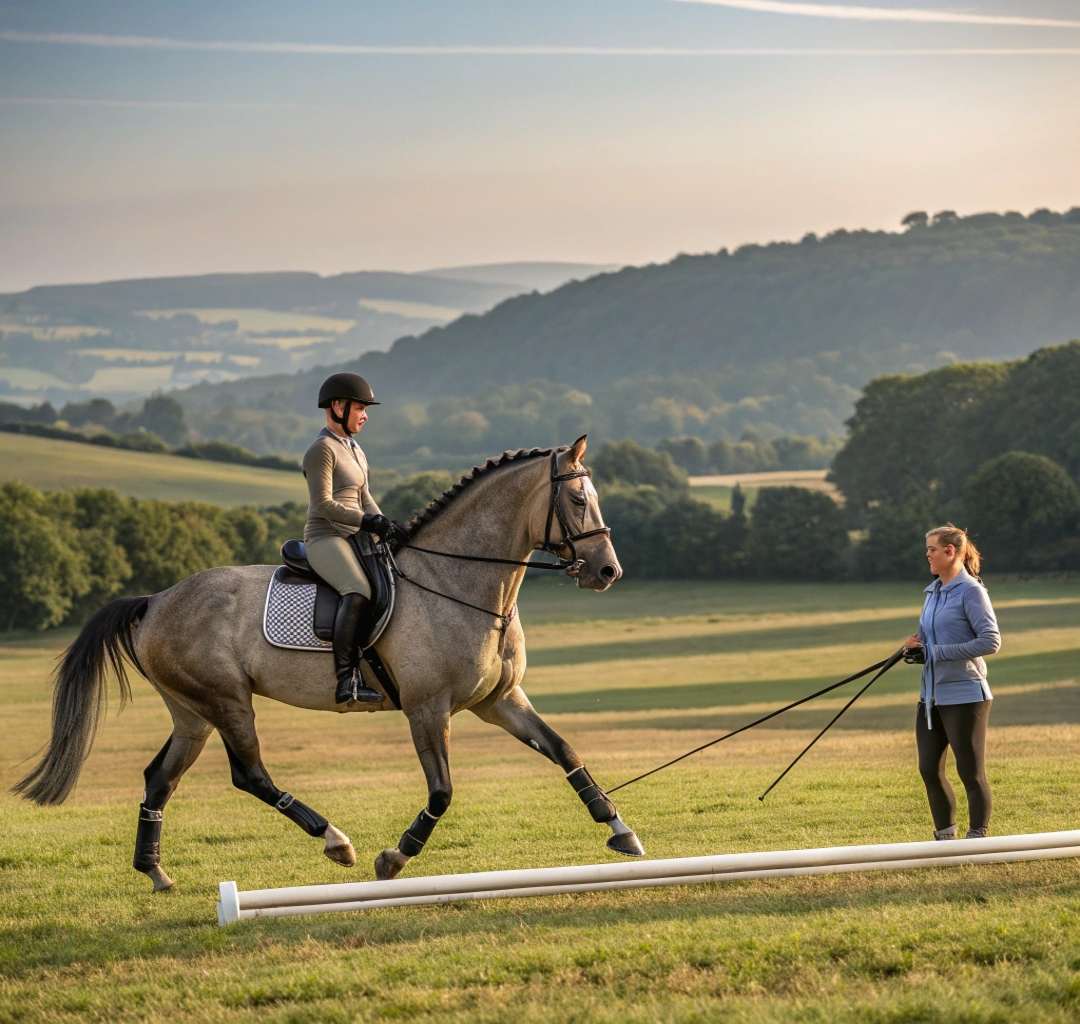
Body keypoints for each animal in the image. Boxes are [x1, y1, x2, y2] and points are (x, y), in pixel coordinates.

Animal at [14, 435, 645, 891]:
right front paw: (393, 857)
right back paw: (335, 841)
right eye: (578, 500)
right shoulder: (427, 708)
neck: (458, 581)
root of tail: (156, 600)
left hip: (191, 712)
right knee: (250, 775)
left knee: (159, 777)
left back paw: (156, 872)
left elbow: (566, 751)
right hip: (226, 700)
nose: (608, 571)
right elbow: (442, 791)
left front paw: (622, 832)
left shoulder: (499, 701)